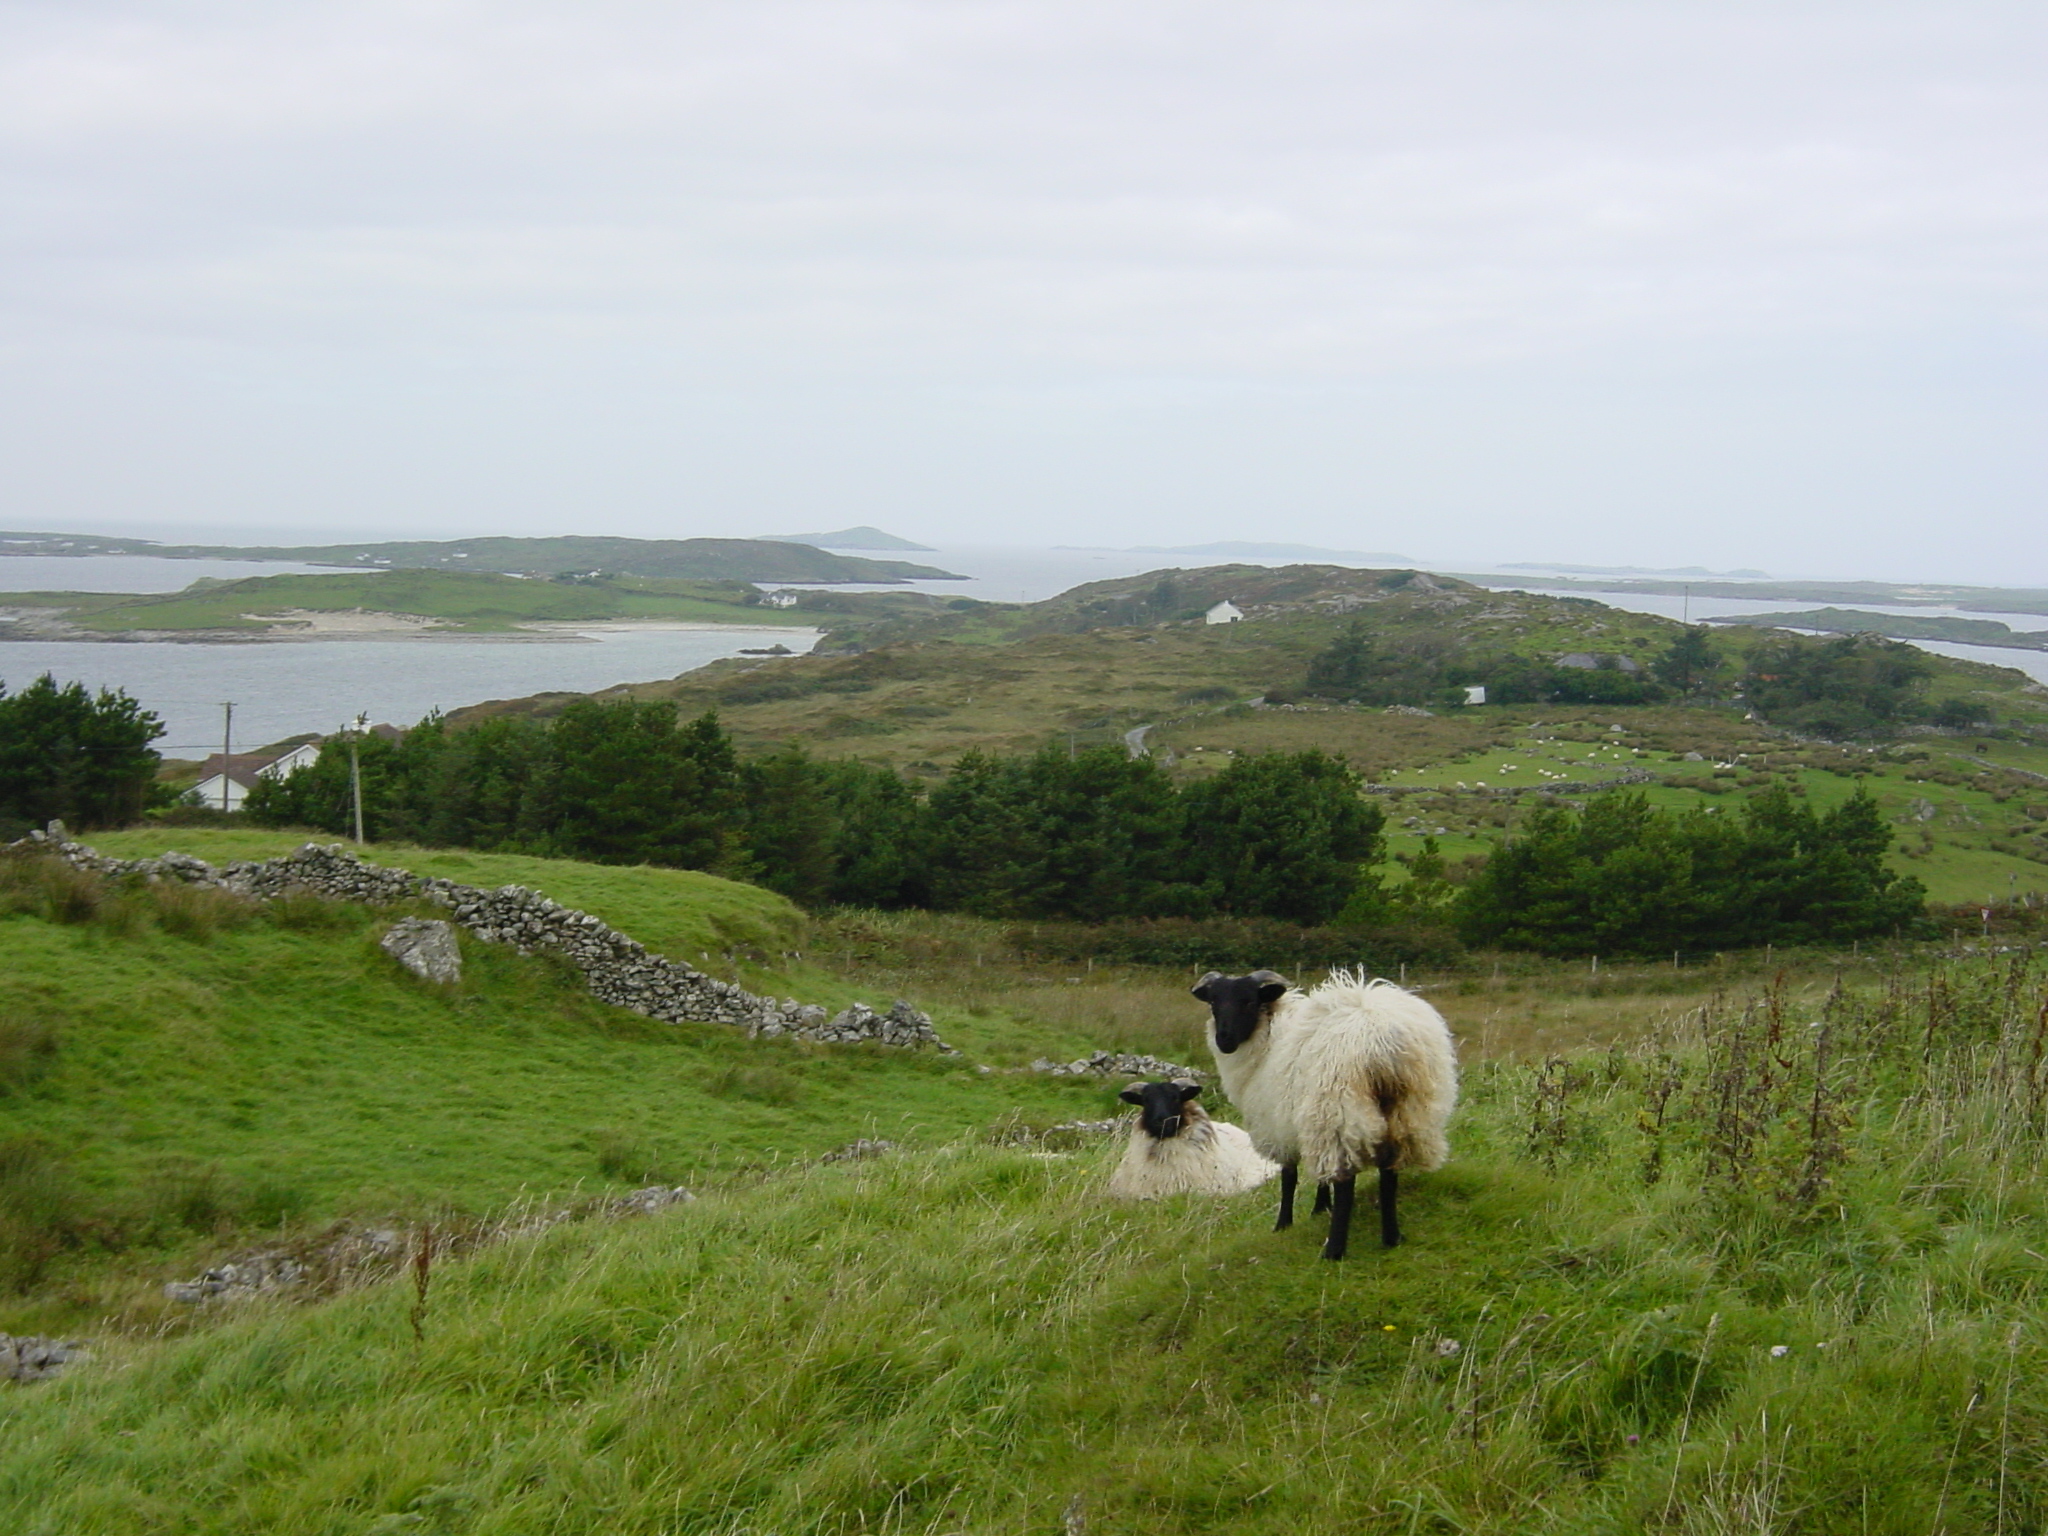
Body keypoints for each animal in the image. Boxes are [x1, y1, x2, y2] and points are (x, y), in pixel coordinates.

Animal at [1196, 974, 1466, 1261]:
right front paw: (1319, 1208)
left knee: (1346, 1184)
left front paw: (1283, 1224)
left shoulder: (1280, 1125)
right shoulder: (1307, 1121)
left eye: (1248, 1001)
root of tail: (1383, 1044)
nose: (1224, 1040)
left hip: (1338, 1110)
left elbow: (1289, 1178)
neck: (1267, 1039)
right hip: (1409, 1111)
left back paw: (1334, 1250)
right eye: (1213, 1002)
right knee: (1389, 1174)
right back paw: (1391, 1238)